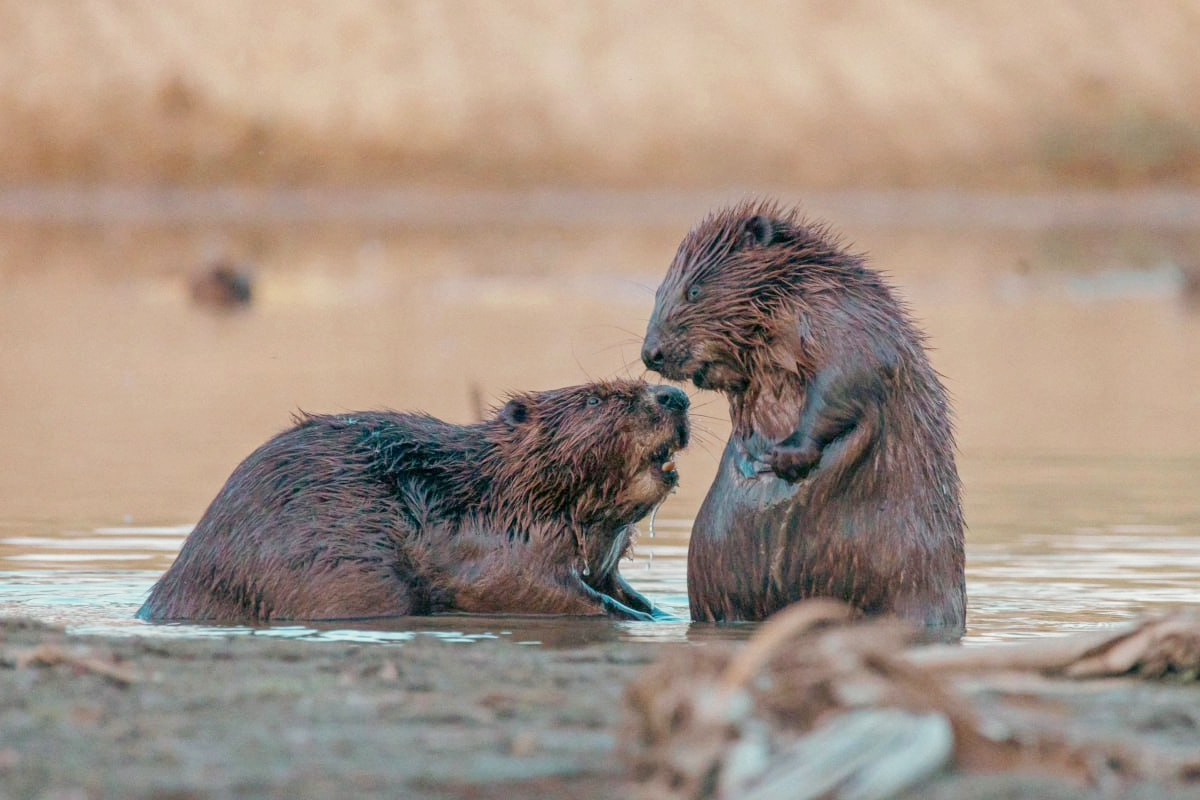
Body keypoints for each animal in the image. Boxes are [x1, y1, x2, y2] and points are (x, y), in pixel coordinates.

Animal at [136, 381, 691, 623]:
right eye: (598, 398)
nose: (674, 396)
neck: (501, 488)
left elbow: (617, 587)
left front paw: (657, 611)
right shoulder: (493, 545)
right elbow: (524, 587)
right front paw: (639, 619)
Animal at [638, 199, 964, 638]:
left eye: (694, 290)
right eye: (659, 290)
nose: (650, 353)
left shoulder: (843, 315)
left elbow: (846, 379)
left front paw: (782, 457)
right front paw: (755, 454)